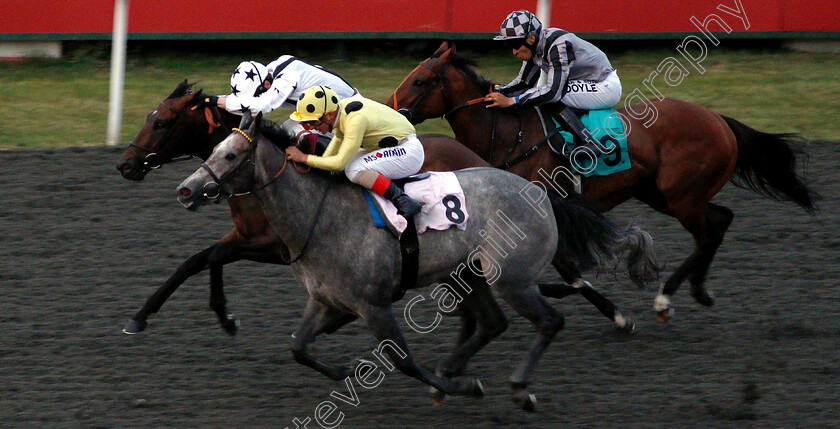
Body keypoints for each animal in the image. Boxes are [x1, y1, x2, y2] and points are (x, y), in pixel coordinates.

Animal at [116, 79, 656, 334]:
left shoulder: (271, 243)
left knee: (563, 264)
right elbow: (197, 260)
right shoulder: (252, 238)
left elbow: (208, 257)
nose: (125, 164)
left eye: (161, 122)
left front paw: (218, 317)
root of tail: (478, 158)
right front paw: (147, 314)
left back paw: (614, 314)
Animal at [176, 115, 648, 410]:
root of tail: (539, 192)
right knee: (493, 323)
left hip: (512, 279)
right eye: (213, 149)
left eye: (230, 156)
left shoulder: (374, 304)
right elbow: (298, 346)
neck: (319, 216)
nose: (186, 190)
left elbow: (402, 360)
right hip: (468, 275)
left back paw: (518, 389)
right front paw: (341, 369)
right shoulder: (325, 300)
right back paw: (455, 367)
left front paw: (464, 387)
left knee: (548, 322)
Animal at [388, 41, 820, 320]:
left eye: (421, 81)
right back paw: (698, 289)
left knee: (707, 233)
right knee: (721, 220)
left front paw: (613, 312)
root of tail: (719, 120)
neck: (510, 133)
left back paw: (666, 298)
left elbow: (565, 270)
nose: (392, 111)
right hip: (663, 194)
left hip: (680, 196)